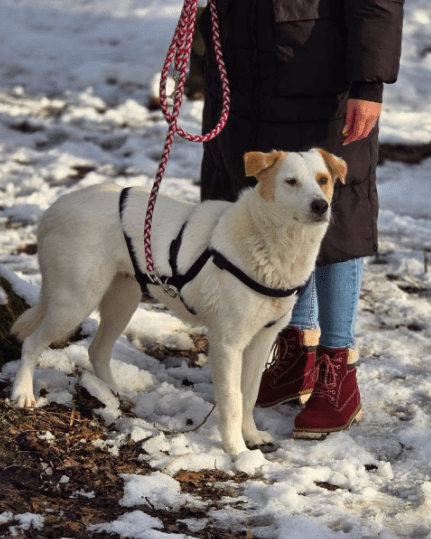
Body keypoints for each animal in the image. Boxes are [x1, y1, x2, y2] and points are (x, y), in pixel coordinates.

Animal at [10, 150, 348, 458]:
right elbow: (233, 401)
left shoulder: (263, 339)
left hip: (123, 301)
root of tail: (55, 207)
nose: (321, 205)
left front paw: (251, 437)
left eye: (323, 180)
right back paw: (22, 393)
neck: (270, 243)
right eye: (291, 182)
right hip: (75, 300)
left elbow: (249, 394)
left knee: (97, 350)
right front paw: (238, 452)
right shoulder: (227, 344)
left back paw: (114, 395)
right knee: (32, 342)